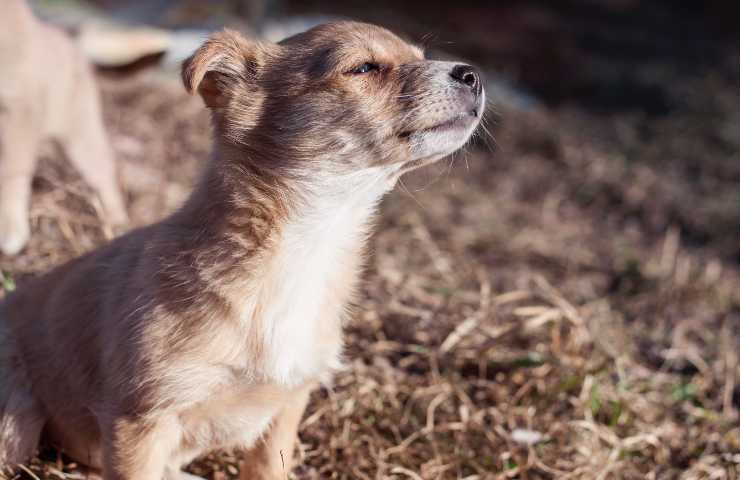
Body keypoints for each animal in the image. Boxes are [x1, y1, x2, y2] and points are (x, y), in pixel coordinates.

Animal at [0, 0, 127, 256]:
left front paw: (10, 226)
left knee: (104, 171)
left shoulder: (19, 108)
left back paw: (115, 222)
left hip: (80, 136)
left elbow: (11, 171)